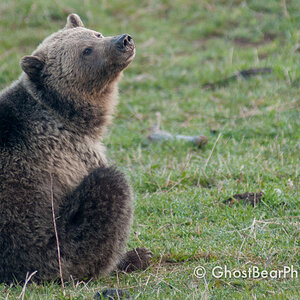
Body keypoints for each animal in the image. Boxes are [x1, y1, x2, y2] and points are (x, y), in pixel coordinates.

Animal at [0, 12, 151, 284]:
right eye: (86, 51)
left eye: (96, 34)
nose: (123, 40)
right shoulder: (72, 151)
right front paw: (131, 255)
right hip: (50, 247)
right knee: (111, 187)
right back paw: (131, 258)